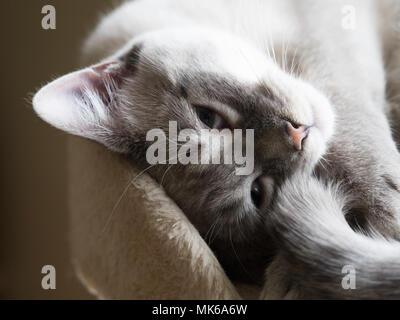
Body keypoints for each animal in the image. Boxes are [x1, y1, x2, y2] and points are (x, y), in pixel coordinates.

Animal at [32, 0, 400, 294]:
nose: (297, 135)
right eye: (258, 192)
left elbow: (362, 156)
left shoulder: (328, 46)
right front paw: (291, 279)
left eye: (208, 117)